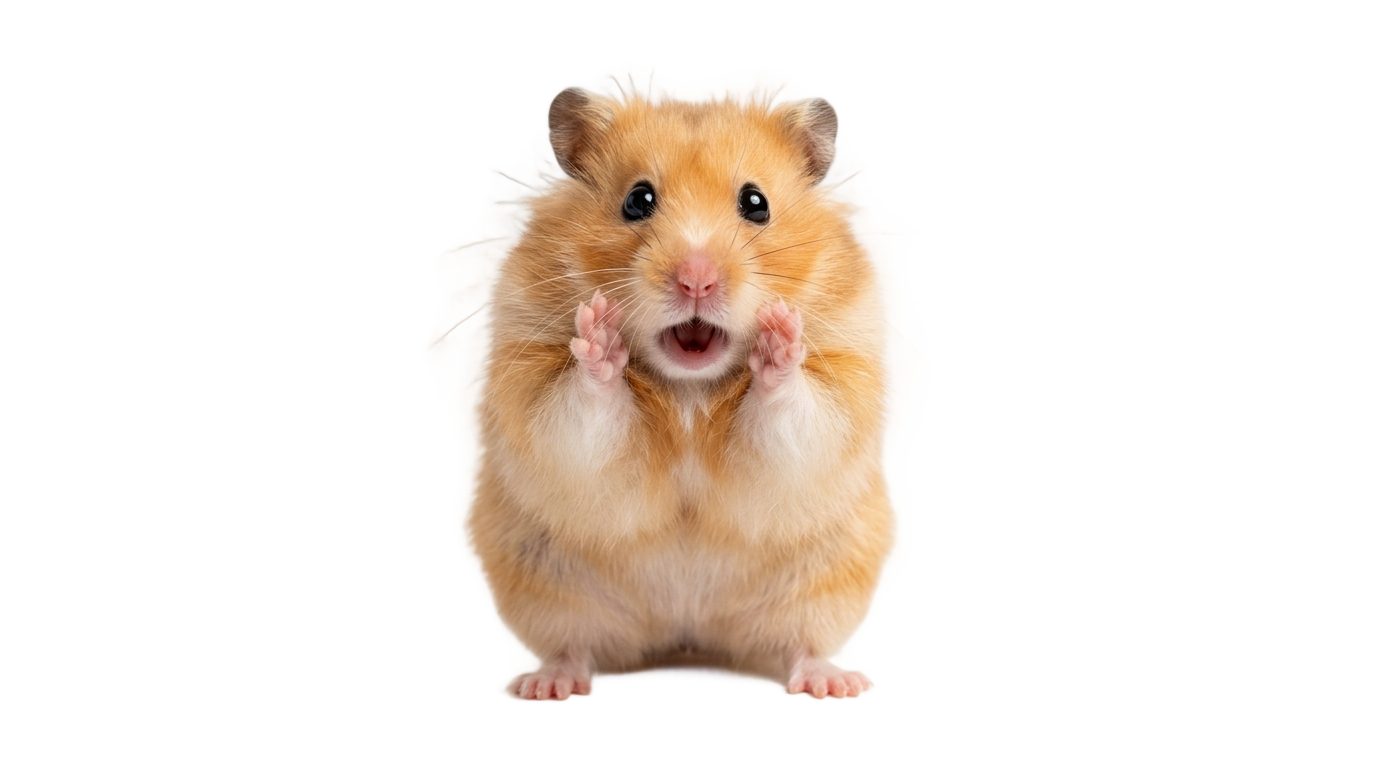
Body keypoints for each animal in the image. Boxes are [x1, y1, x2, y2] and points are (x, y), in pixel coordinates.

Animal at [467, 86, 889, 698]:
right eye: (637, 199)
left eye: (756, 203)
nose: (696, 280)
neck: (690, 386)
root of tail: (685, 637)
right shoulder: (532, 387)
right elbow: (584, 412)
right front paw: (600, 335)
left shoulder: (839, 392)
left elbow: (794, 414)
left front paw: (780, 339)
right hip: (546, 584)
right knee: (576, 646)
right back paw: (552, 690)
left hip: (824, 582)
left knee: (798, 646)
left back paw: (834, 687)